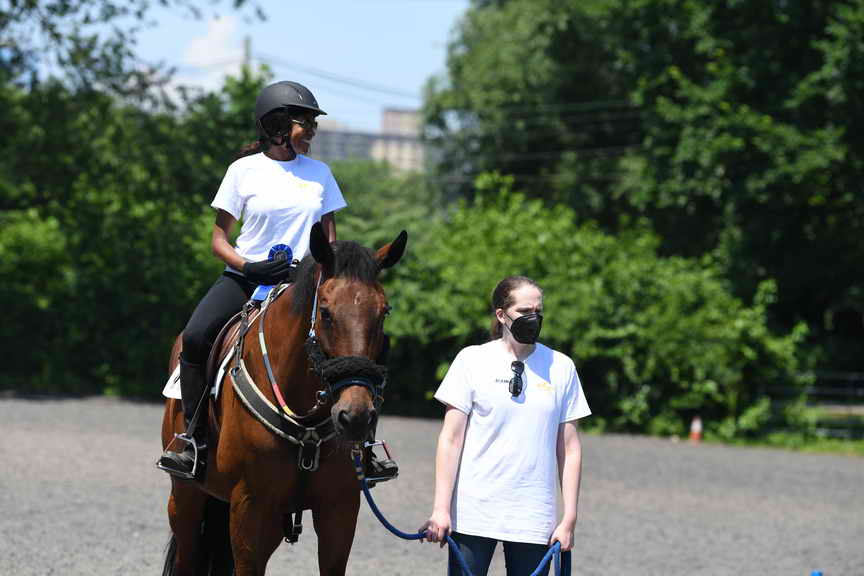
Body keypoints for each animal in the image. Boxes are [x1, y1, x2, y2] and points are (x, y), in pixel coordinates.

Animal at [160, 222, 407, 576]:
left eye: (383, 312)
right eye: (326, 313)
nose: (355, 415)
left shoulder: (340, 507)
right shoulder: (249, 506)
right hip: (186, 498)